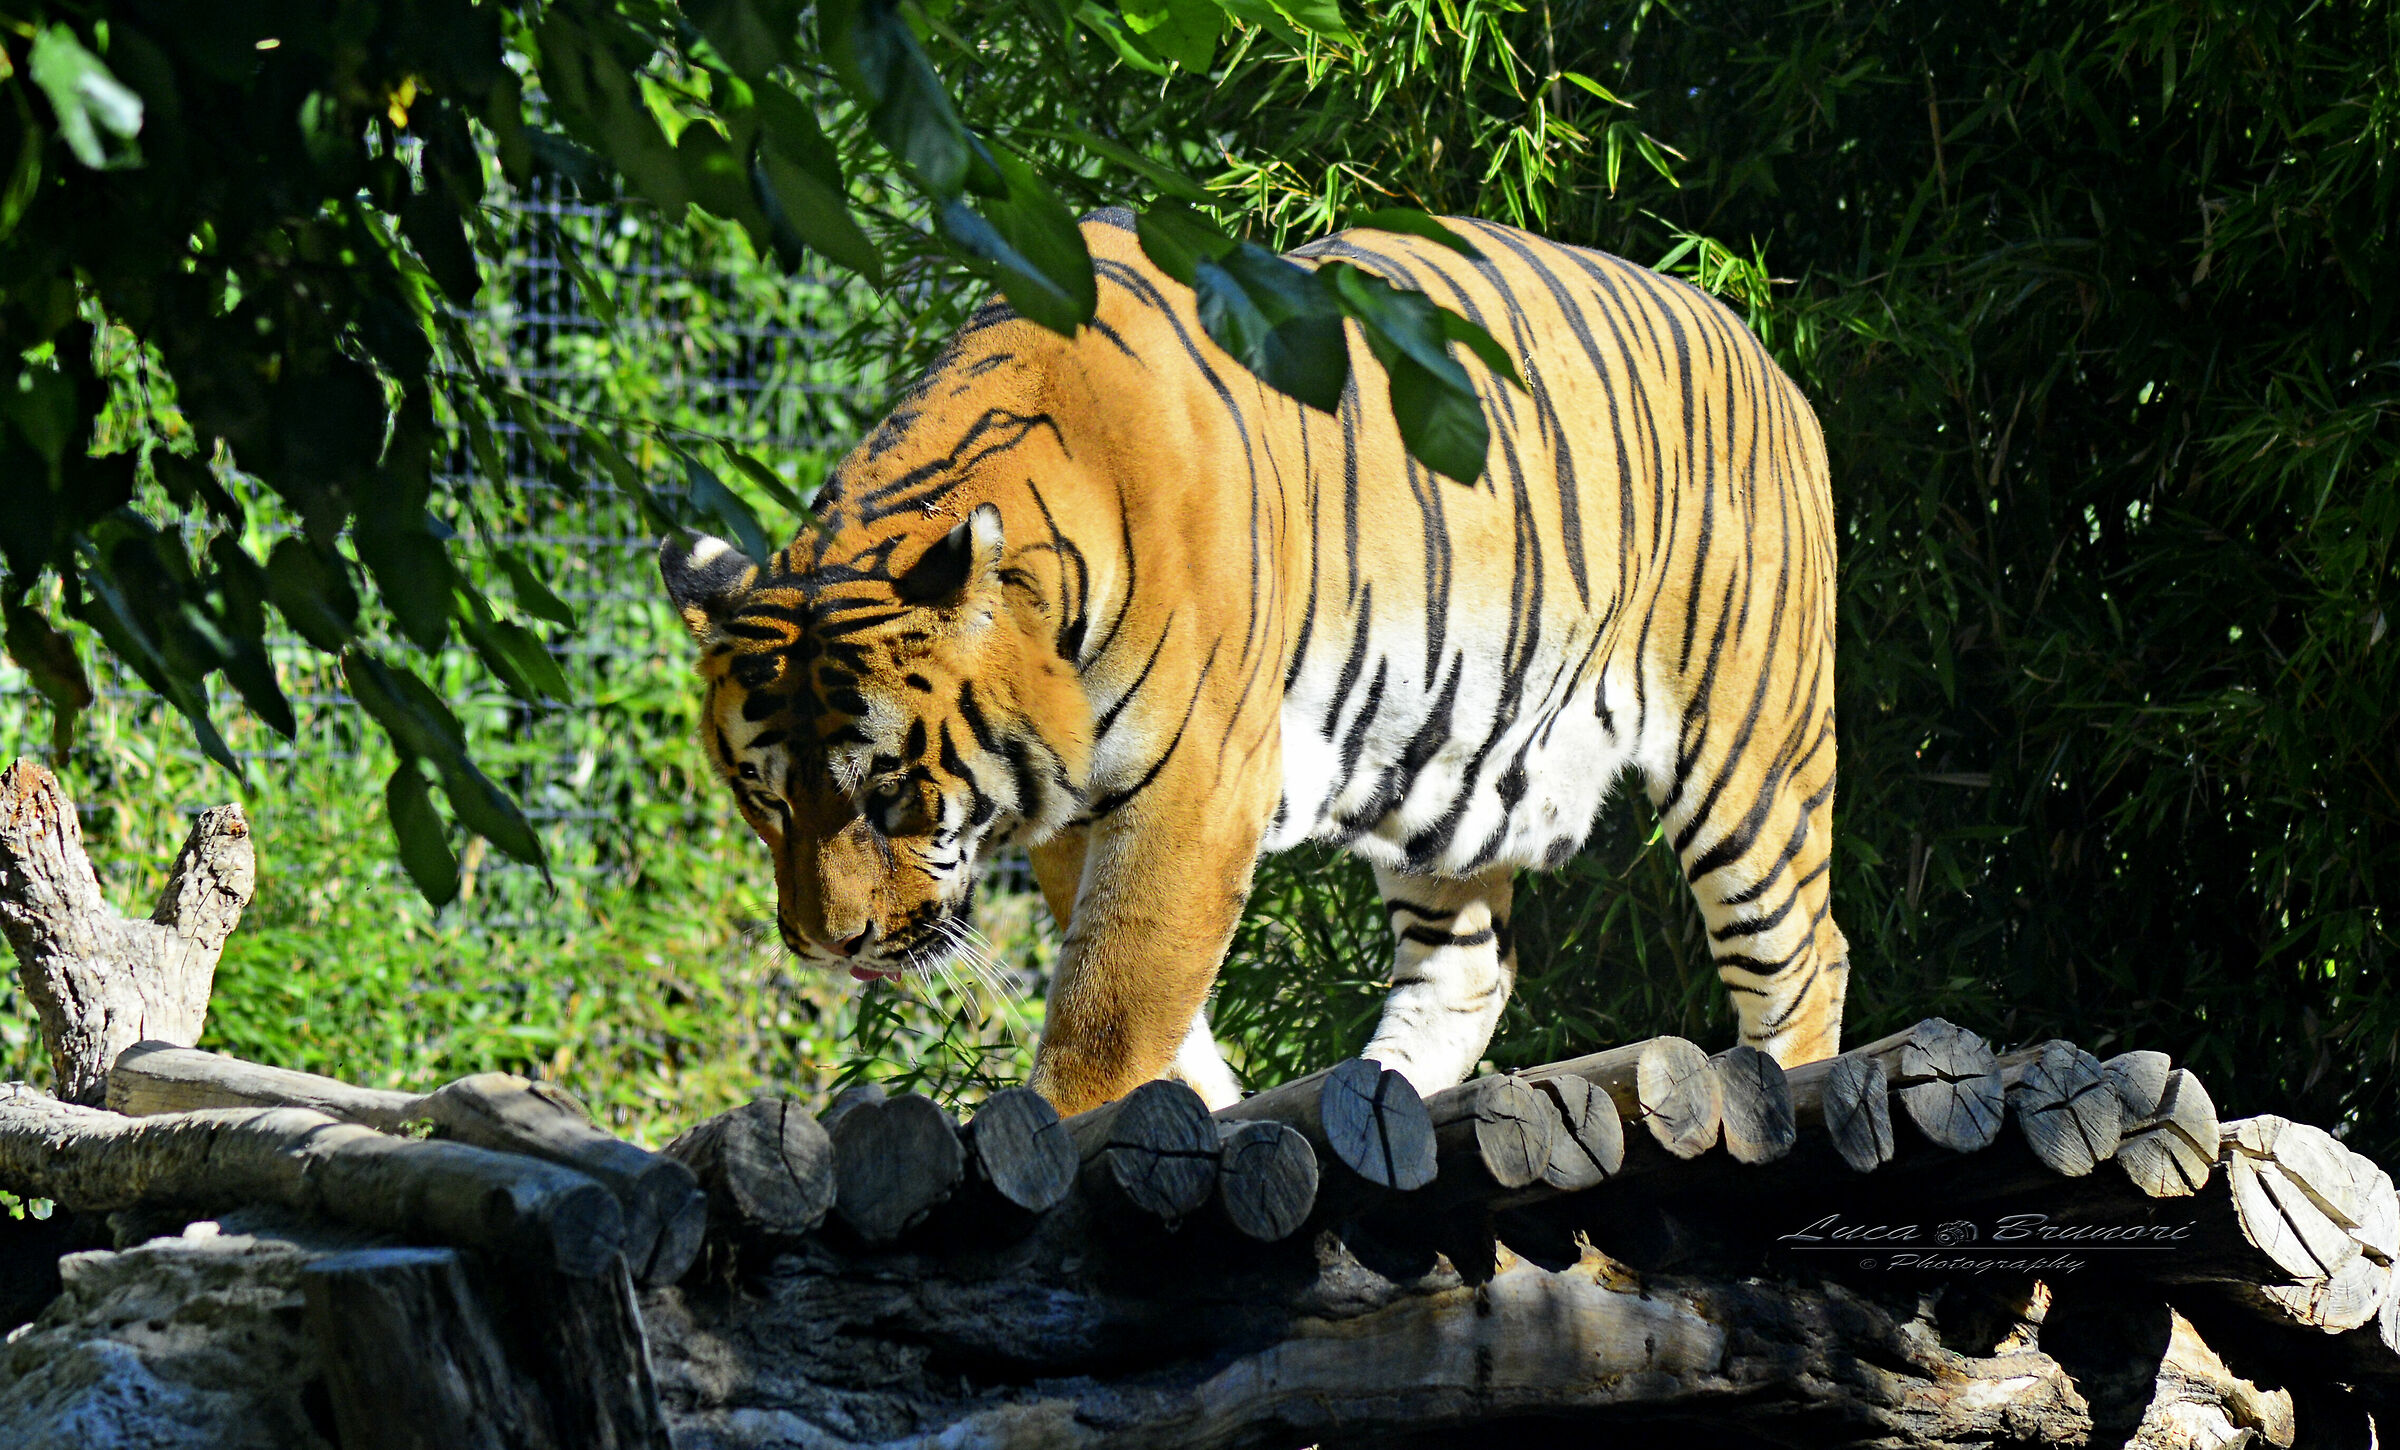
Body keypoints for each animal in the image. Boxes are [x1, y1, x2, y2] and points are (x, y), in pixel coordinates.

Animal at [659, 208, 1850, 1117]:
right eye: (766, 800)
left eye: (892, 793)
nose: (829, 943)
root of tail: (1755, 336)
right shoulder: (1082, 815)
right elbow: (1146, 1000)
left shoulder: (1195, 788)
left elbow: (1114, 1001)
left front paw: (1062, 1121)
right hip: (1447, 774)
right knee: (1465, 971)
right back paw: (1375, 1090)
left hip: (1751, 751)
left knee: (1806, 958)